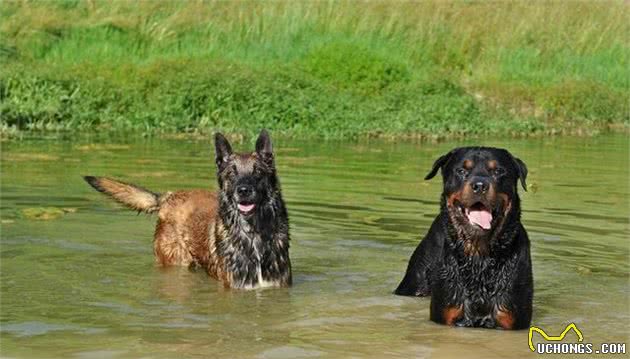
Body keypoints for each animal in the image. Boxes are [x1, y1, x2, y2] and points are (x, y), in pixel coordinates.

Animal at [82, 129, 292, 290]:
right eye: (232, 173)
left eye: (258, 172)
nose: (243, 191)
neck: (253, 234)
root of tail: (169, 196)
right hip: (176, 262)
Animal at [396, 148, 532, 330]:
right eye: (461, 171)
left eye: (498, 171)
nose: (480, 186)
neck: (479, 255)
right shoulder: (447, 313)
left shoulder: (511, 318)